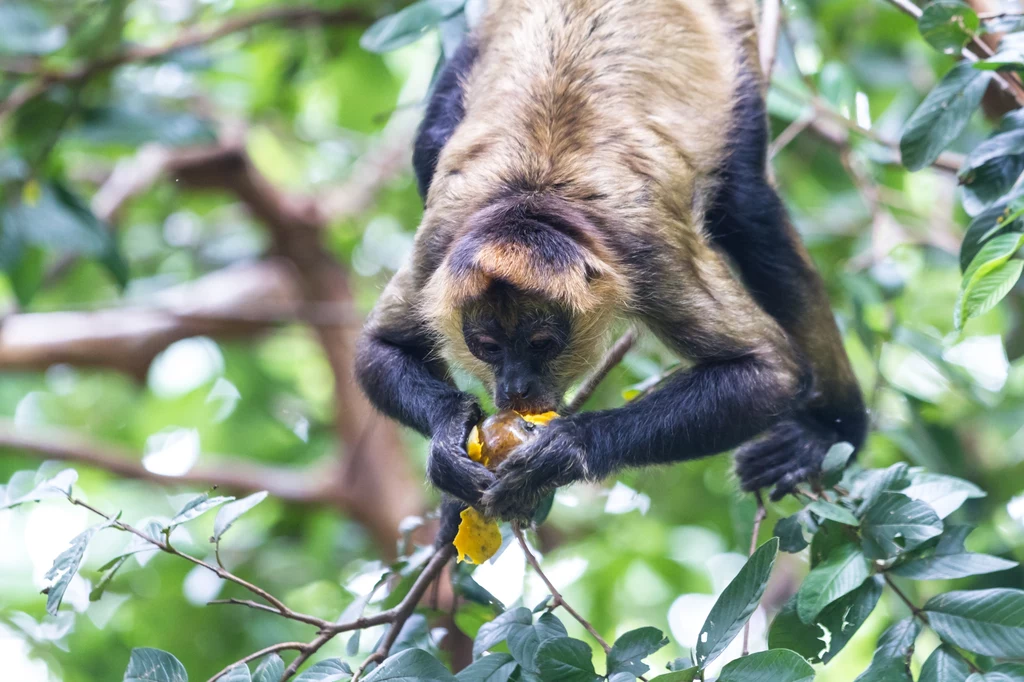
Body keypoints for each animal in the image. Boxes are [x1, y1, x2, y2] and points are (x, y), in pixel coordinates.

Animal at [354, 0, 864, 532]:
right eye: (488, 346)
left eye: (541, 343)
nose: (515, 386)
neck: (532, 193)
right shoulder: (441, 245)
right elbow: (378, 349)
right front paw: (448, 437)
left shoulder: (647, 249)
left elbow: (770, 371)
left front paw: (568, 449)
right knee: (428, 145)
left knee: (750, 207)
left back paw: (827, 432)